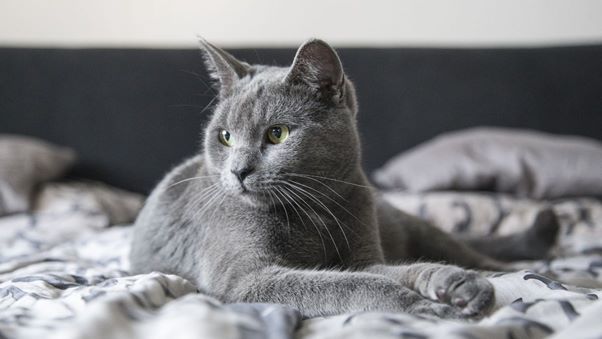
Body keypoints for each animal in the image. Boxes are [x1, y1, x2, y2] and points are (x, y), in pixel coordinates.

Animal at [129, 38, 556, 320]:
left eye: (277, 134)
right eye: (225, 137)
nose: (238, 171)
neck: (314, 212)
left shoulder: (363, 256)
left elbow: (400, 269)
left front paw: (457, 285)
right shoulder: (244, 279)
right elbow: (354, 284)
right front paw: (426, 306)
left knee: (472, 252)